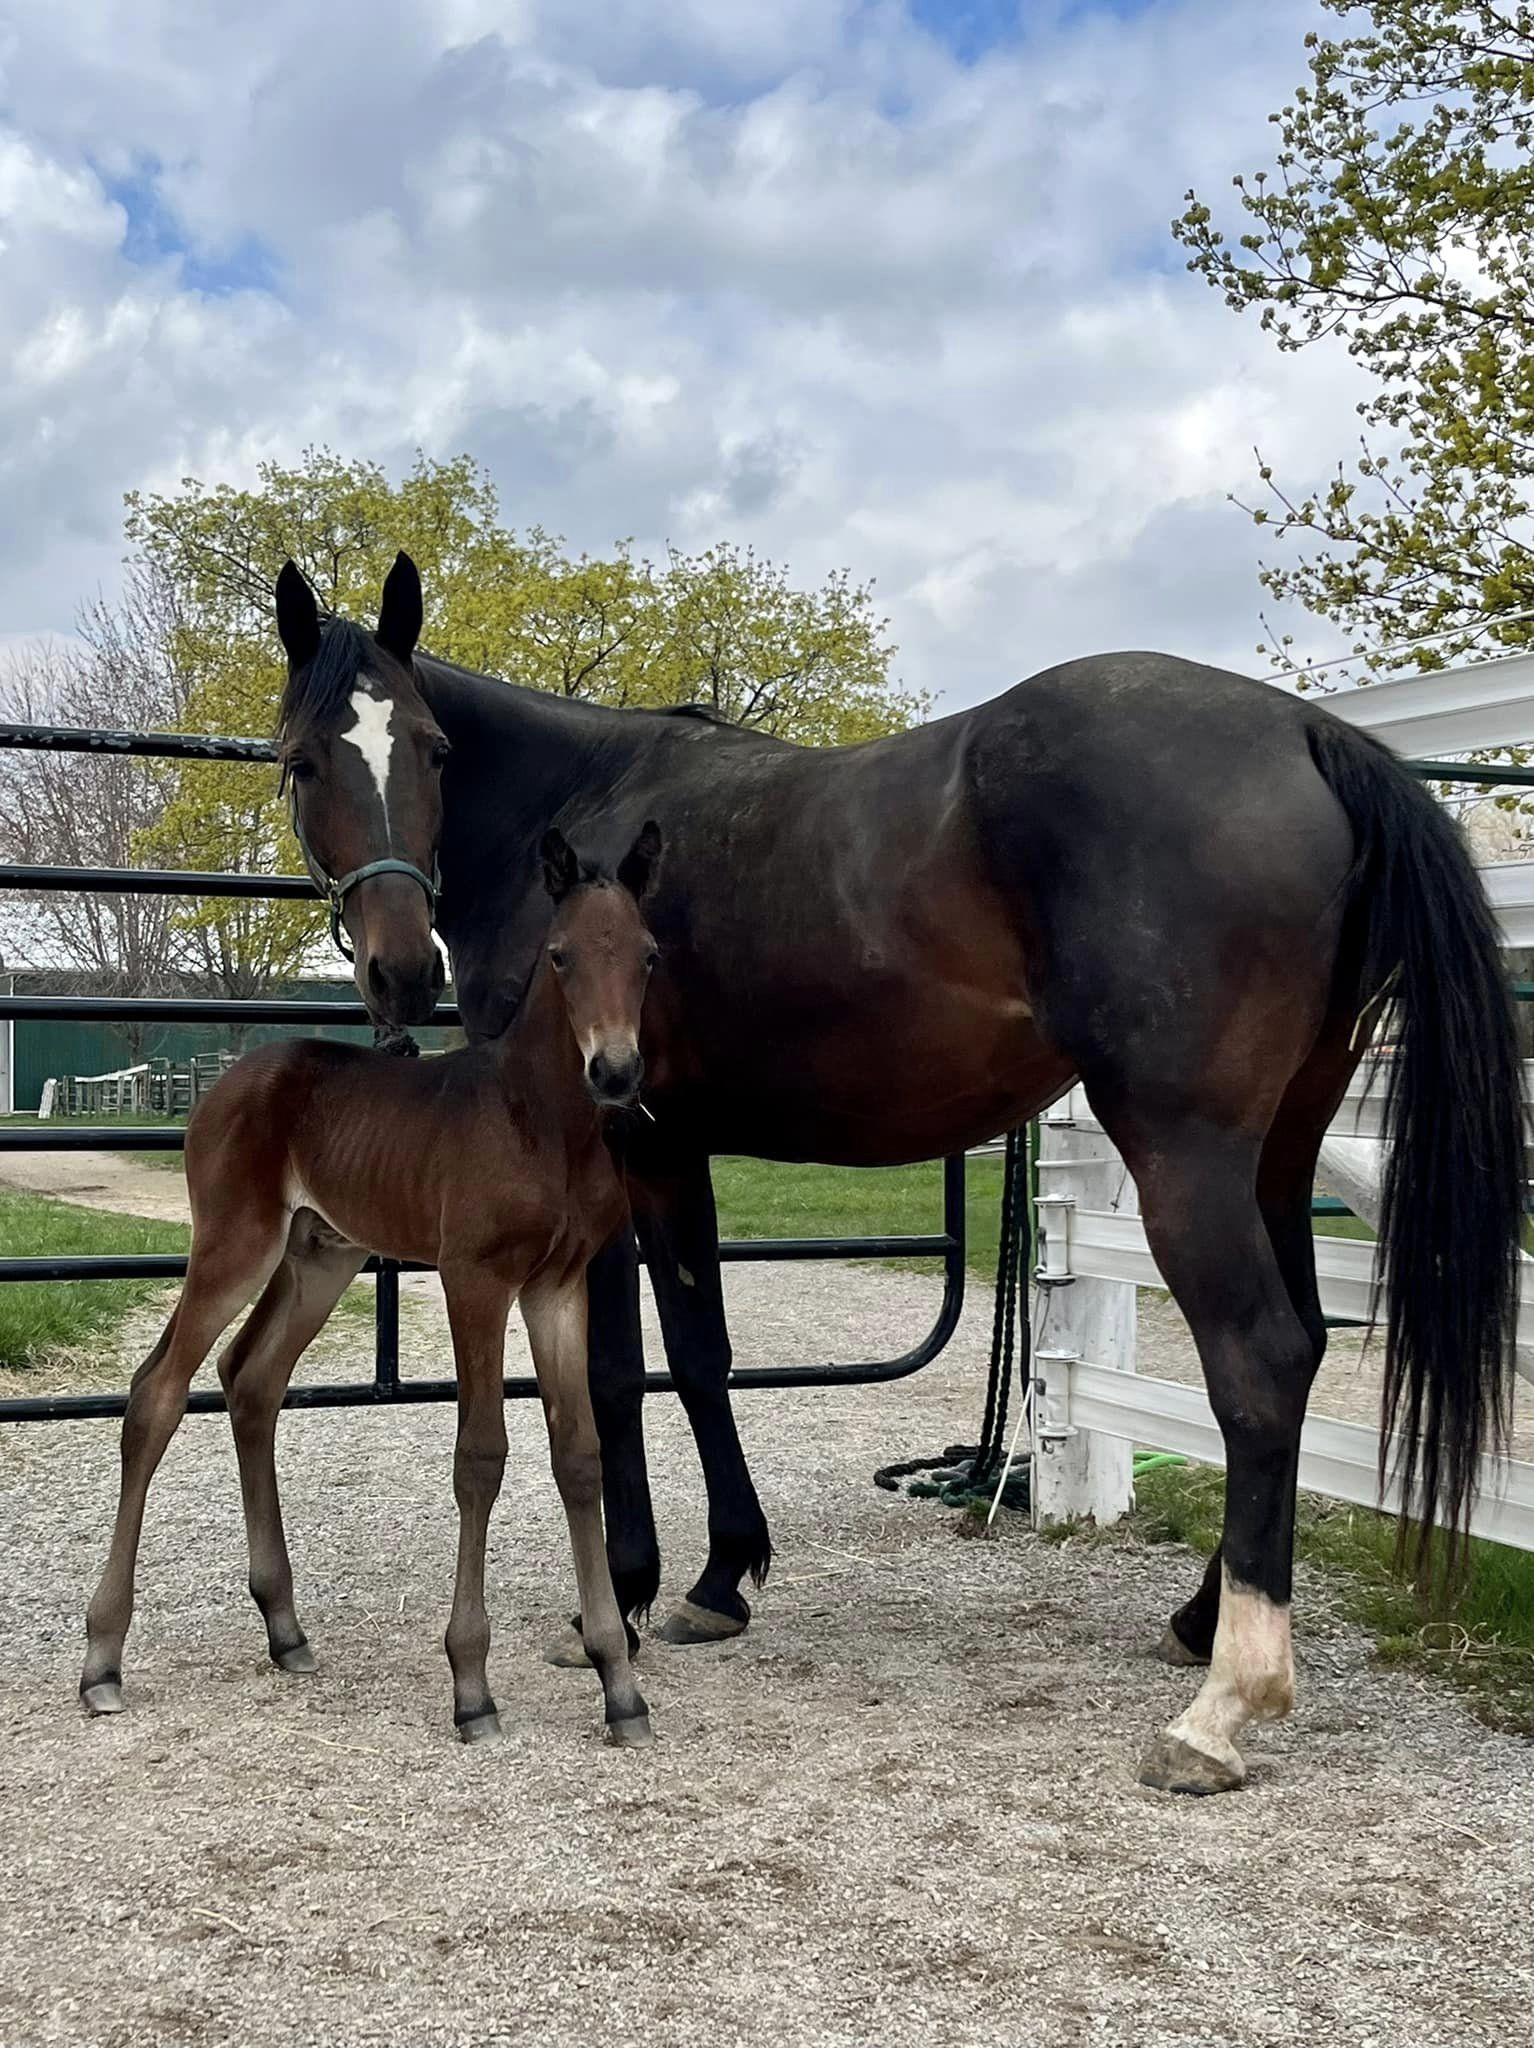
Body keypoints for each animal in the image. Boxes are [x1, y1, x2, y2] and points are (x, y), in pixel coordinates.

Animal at [299, 557, 1523, 1794]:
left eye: (431, 746)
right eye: (306, 756)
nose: (397, 968)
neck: (577, 805)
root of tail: (1307, 733)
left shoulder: (628, 1150)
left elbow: (618, 1376)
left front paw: (640, 1593)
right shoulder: (668, 1152)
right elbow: (695, 1356)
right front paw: (718, 1579)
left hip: (1186, 1148)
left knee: (1257, 1360)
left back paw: (1221, 1706)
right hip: (1281, 1145)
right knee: (1304, 1344)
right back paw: (1197, 1618)